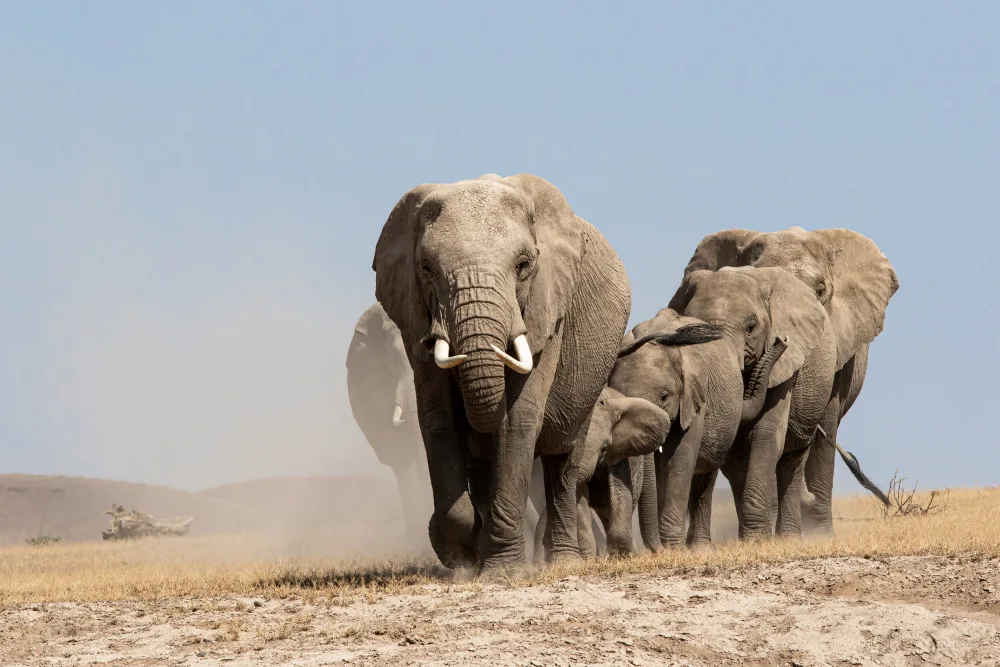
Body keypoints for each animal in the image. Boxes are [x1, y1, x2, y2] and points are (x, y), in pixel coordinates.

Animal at [371, 173, 633, 575]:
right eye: (426, 268)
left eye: (524, 265)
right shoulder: (413, 317)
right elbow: (438, 419)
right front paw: (461, 559)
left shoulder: (546, 309)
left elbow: (519, 416)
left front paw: (504, 572)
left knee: (563, 461)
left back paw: (562, 561)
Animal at [608, 305, 790, 547]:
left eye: (664, 396)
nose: (783, 340)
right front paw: (672, 547)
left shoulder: (694, 398)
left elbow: (679, 459)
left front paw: (674, 548)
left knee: (706, 474)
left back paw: (698, 547)